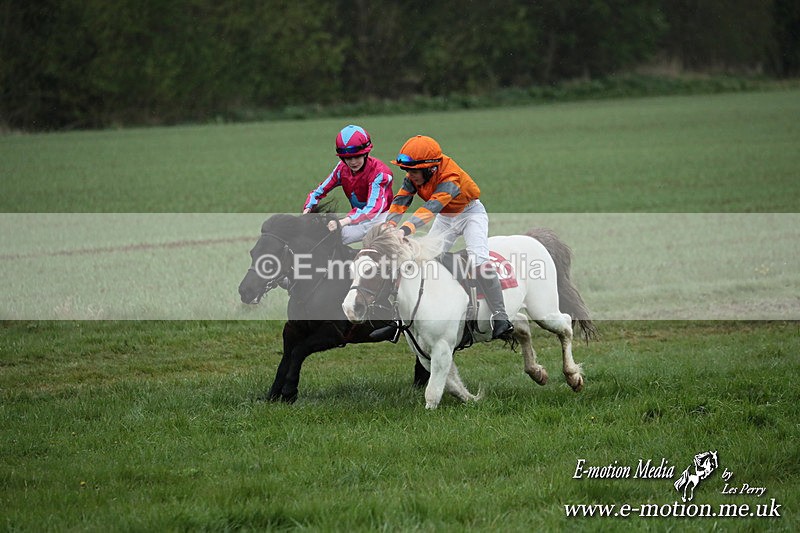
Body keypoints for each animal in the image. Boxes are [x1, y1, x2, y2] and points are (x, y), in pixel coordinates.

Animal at [238, 206, 429, 402]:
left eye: (271, 258)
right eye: (253, 253)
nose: (245, 291)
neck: (317, 283)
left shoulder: (333, 334)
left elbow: (298, 351)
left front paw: (290, 391)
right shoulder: (293, 328)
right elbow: (286, 357)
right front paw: (273, 394)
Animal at [342, 224, 596, 410]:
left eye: (373, 271)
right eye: (352, 270)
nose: (350, 308)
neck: (421, 293)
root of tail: (531, 238)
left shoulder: (442, 347)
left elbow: (433, 392)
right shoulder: (425, 353)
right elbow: (452, 385)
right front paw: (474, 399)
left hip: (543, 309)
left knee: (565, 326)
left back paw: (573, 377)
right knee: (523, 327)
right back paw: (536, 372)